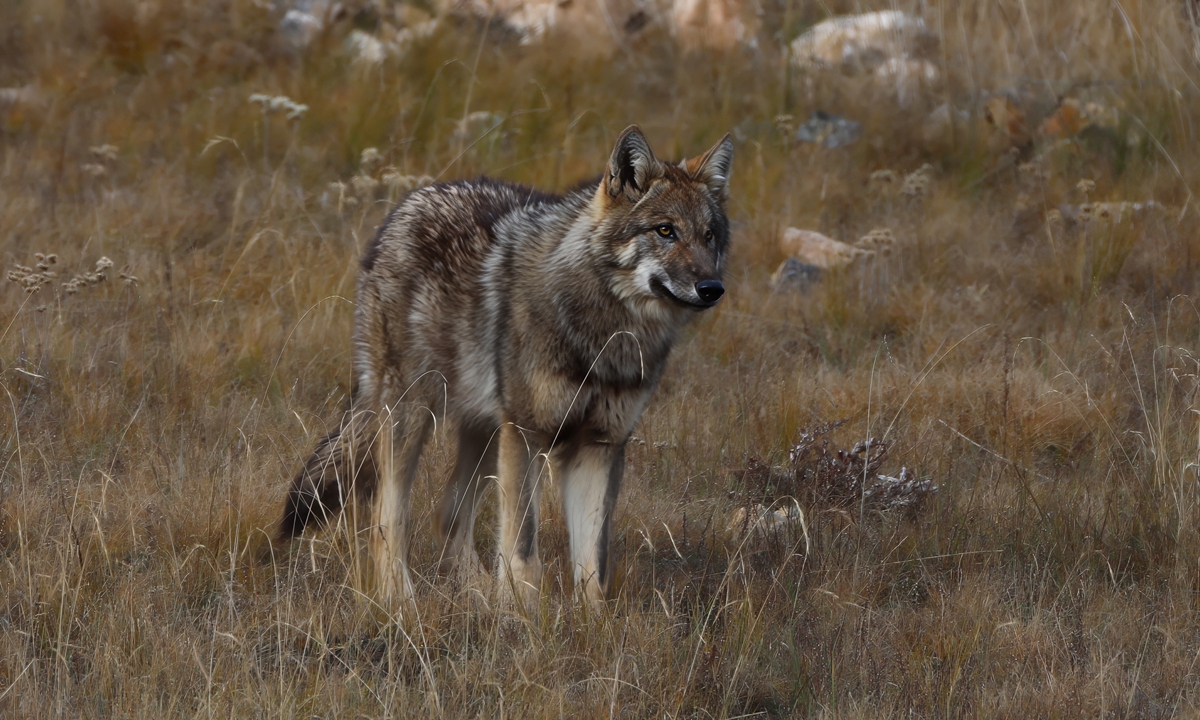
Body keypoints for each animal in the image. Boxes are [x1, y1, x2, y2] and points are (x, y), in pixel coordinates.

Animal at [278, 125, 733, 610]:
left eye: (709, 236)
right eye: (666, 231)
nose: (712, 288)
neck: (607, 336)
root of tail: (408, 203)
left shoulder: (599, 444)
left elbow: (591, 561)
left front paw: (590, 623)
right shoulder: (528, 434)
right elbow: (522, 545)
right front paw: (523, 615)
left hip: (484, 431)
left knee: (448, 515)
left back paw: (474, 593)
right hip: (413, 417)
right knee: (387, 518)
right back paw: (402, 602)